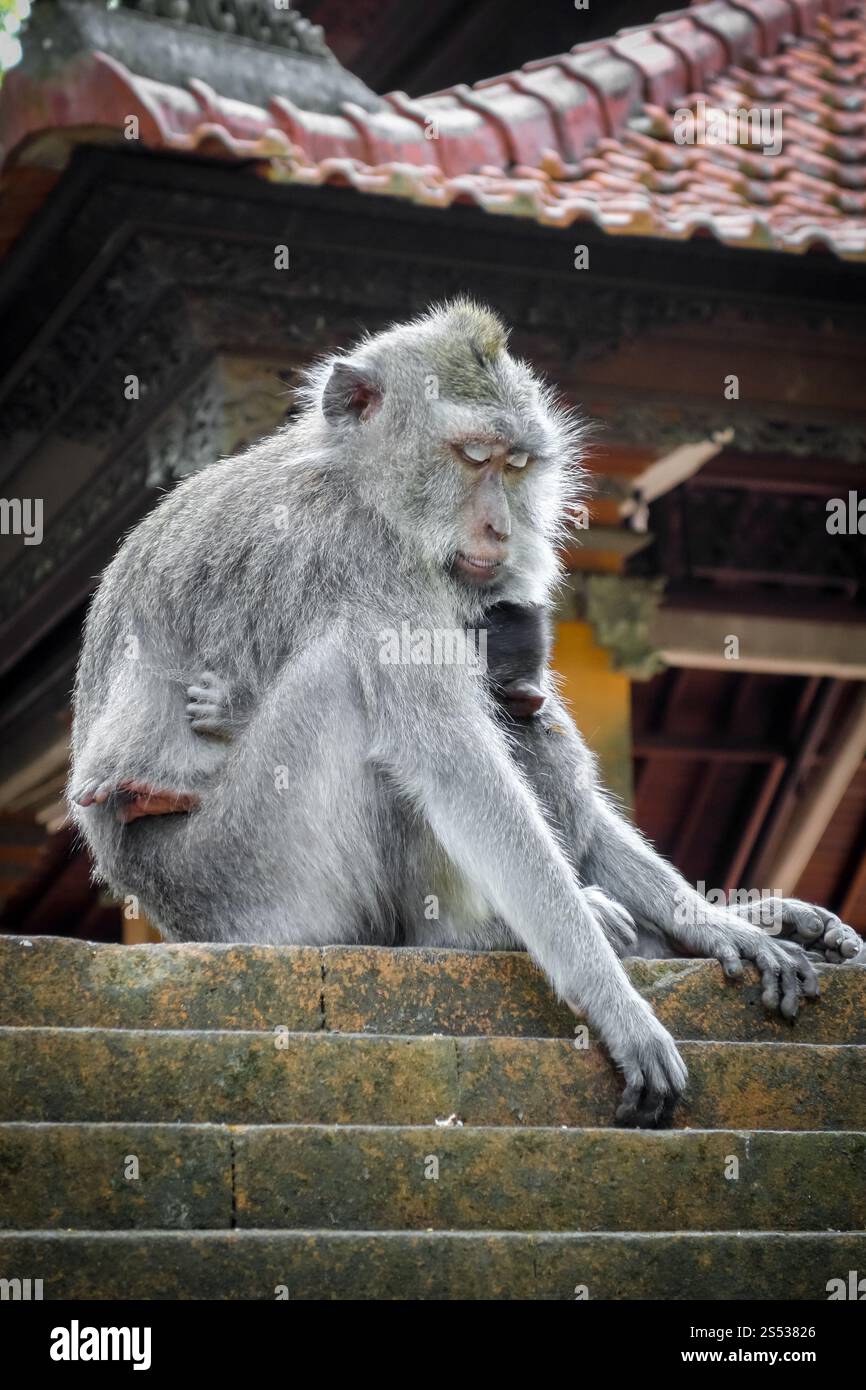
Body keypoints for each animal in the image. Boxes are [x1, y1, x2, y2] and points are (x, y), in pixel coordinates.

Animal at [68, 299, 860, 1129]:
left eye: (515, 467)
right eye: (473, 455)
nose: (500, 529)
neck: (360, 483)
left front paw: (716, 922)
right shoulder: (370, 563)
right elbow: (457, 770)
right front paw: (616, 1004)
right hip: (249, 881)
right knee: (355, 689)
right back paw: (467, 933)